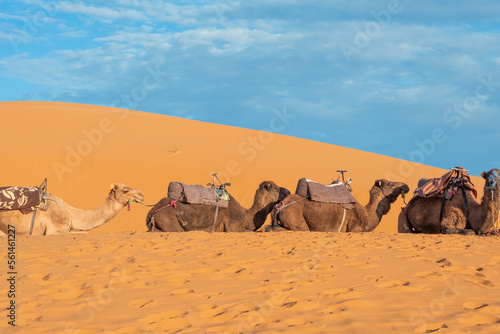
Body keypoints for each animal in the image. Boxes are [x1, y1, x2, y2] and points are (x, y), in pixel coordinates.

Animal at [146, 180, 290, 232]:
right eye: (276, 189)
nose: (288, 192)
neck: (246, 215)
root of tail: (152, 211)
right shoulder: (234, 227)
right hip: (167, 218)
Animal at [268, 180, 408, 232]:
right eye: (390, 184)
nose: (406, 186)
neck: (367, 216)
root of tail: (280, 206)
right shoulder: (354, 230)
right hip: (298, 223)